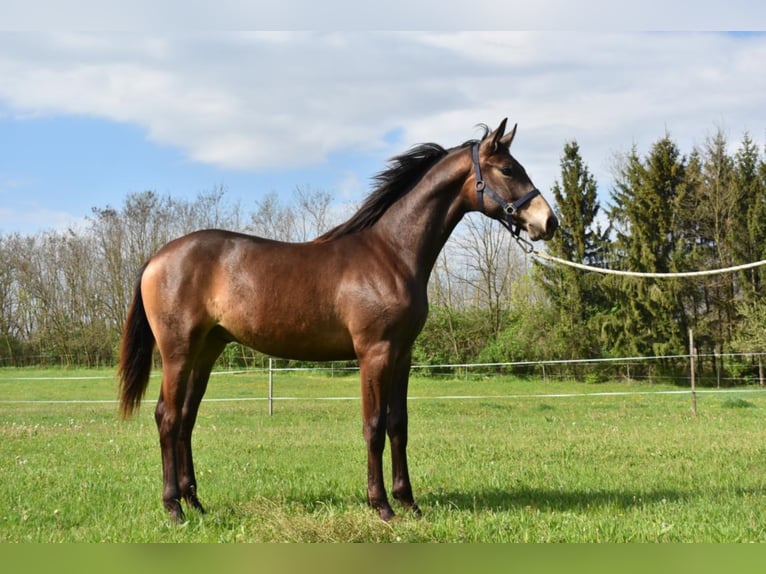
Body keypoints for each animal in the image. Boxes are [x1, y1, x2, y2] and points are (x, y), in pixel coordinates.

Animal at [117, 119, 560, 524]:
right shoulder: (374, 354)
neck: (391, 254)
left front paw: (409, 502)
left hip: (207, 351)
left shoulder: (402, 355)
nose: (548, 222)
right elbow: (374, 427)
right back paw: (174, 507)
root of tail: (158, 258)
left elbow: (398, 425)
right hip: (178, 351)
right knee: (167, 417)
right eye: (508, 169)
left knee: (185, 419)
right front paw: (381, 506)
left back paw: (195, 502)